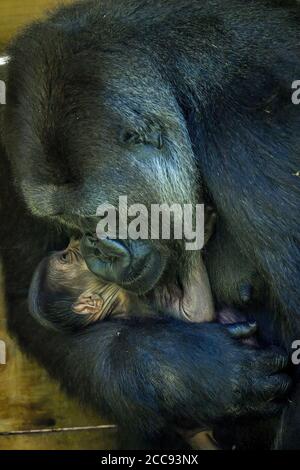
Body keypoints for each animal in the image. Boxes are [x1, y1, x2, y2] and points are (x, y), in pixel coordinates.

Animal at [0, 0, 298, 448]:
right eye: (65, 220)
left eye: (100, 215)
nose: (94, 248)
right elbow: (26, 301)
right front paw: (186, 373)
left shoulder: (255, 136)